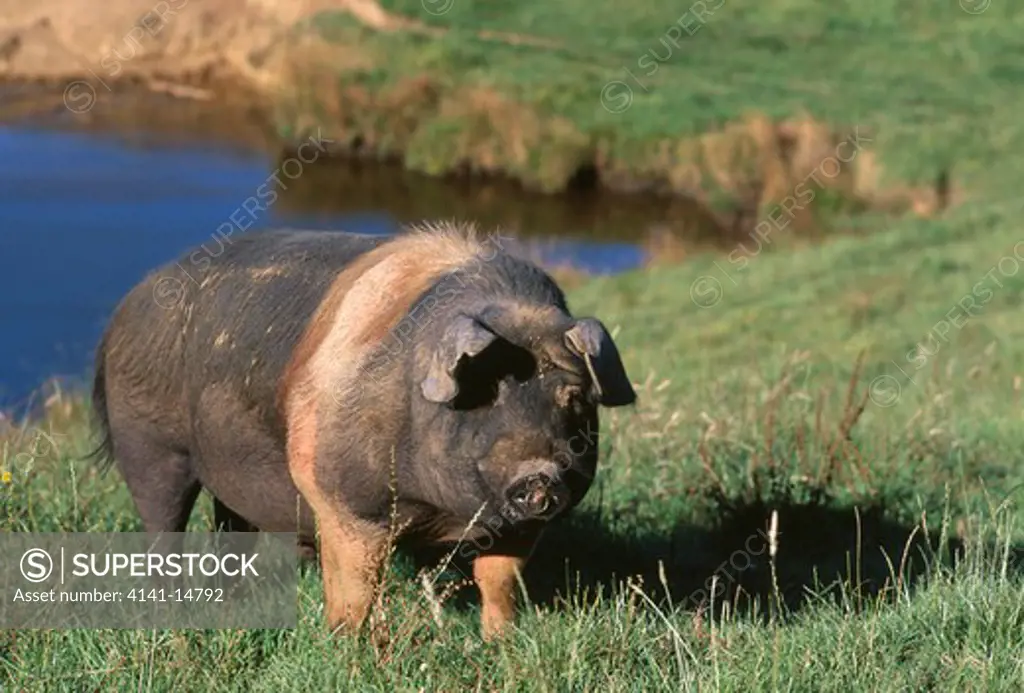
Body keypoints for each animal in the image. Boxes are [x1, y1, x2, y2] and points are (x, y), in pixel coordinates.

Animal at [90, 223, 630, 638]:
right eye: (484, 394)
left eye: (573, 400)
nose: (538, 475)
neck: (440, 513)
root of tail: (127, 305)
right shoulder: (339, 495)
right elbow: (355, 588)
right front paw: (348, 645)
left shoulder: (519, 526)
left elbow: (499, 583)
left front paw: (500, 642)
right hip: (150, 444)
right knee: (163, 524)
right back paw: (174, 608)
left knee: (230, 526)